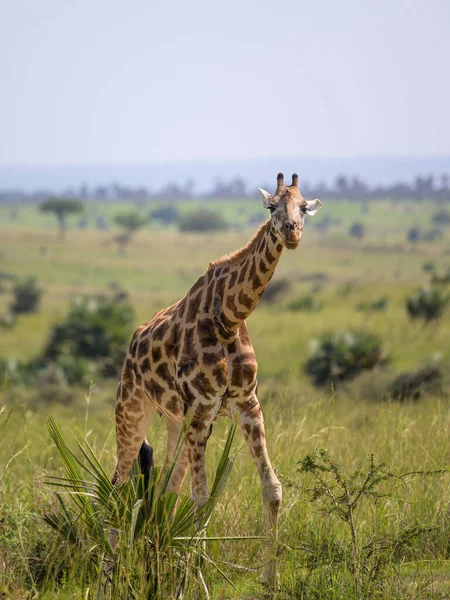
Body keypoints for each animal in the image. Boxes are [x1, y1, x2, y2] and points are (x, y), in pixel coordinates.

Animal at [114, 171, 322, 584]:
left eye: (304, 207)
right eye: (272, 207)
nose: (291, 232)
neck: (229, 317)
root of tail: (132, 344)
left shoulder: (246, 404)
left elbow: (272, 489)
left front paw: (270, 579)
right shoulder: (201, 409)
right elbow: (200, 498)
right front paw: (198, 577)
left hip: (175, 422)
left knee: (164, 488)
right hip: (131, 411)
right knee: (117, 483)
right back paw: (112, 565)